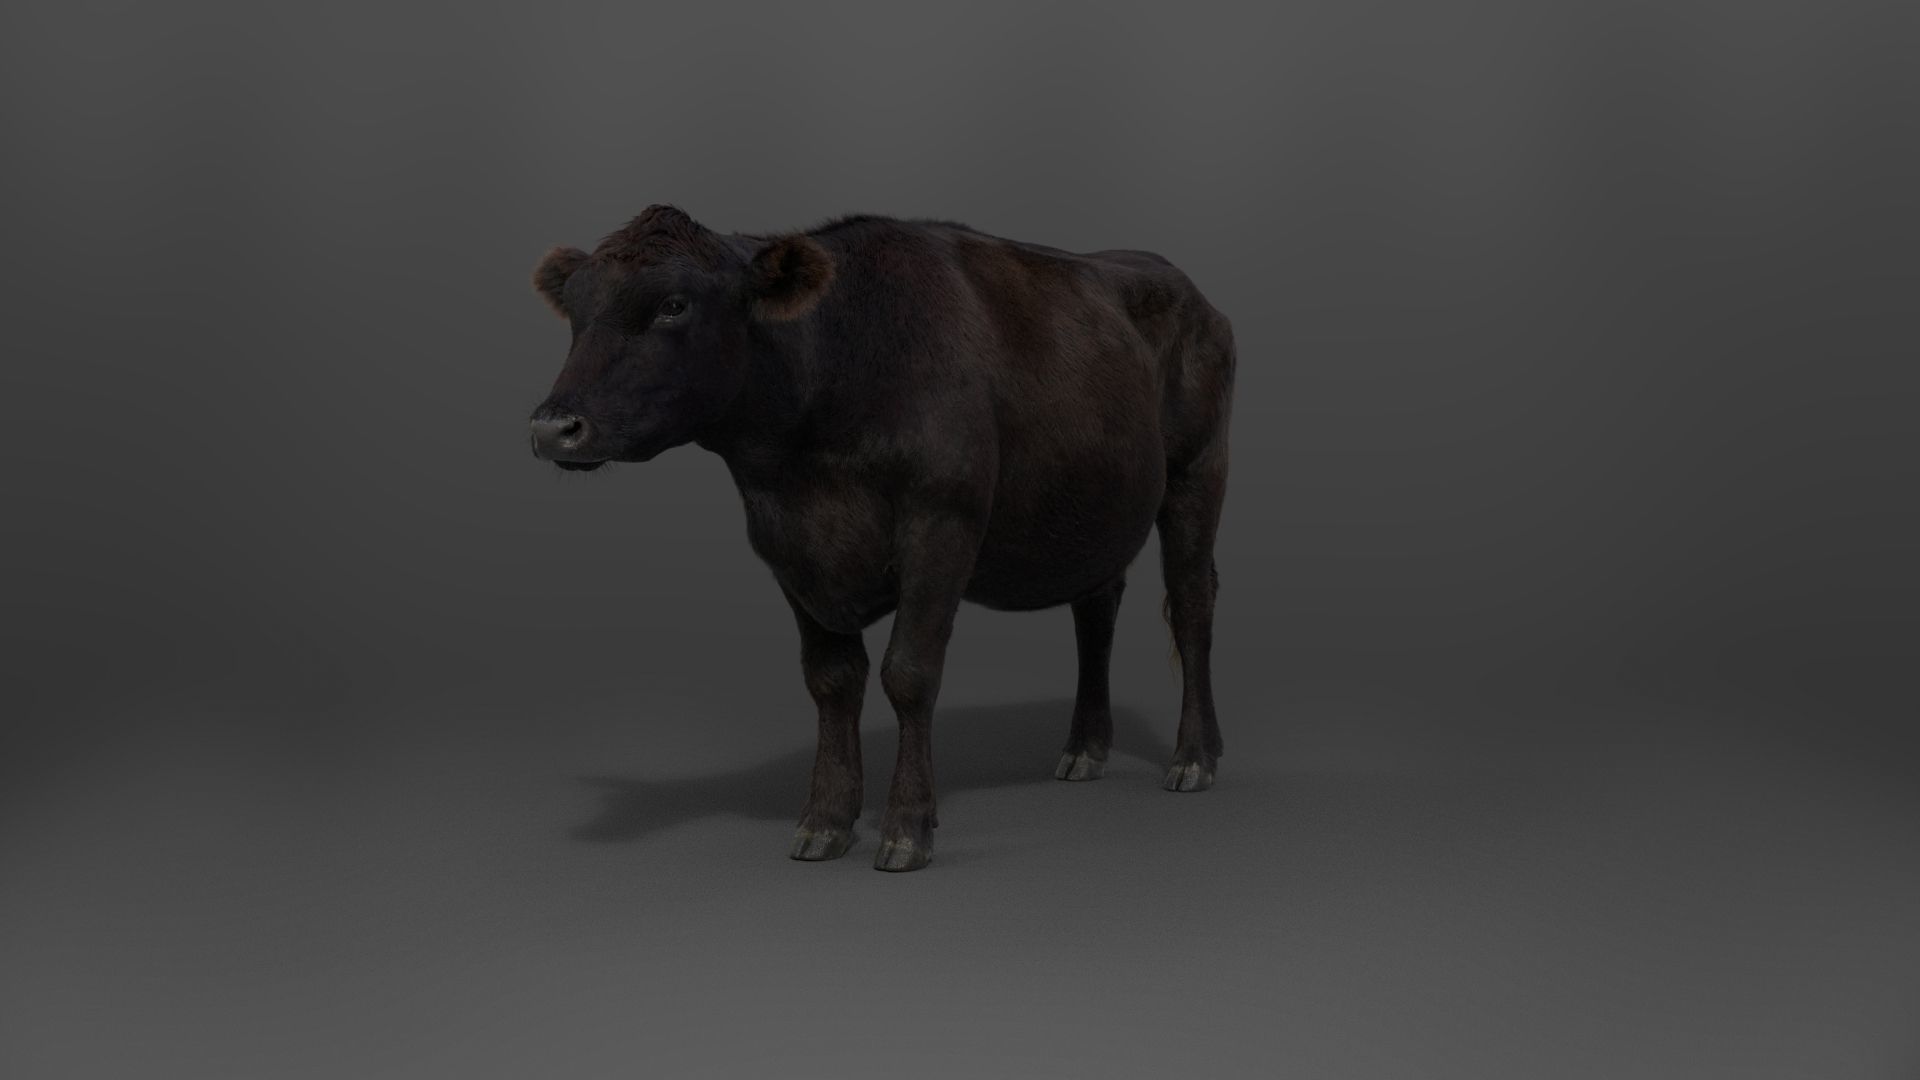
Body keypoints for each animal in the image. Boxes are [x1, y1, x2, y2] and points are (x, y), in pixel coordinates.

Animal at [528, 205, 1234, 871]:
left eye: (674, 304)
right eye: (577, 309)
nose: (552, 428)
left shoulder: (941, 523)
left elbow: (909, 673)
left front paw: (906, 829)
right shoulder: (787, 546)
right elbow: (832, 680)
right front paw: (825, 821)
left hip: (1198, 472)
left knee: (1192, 605)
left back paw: (1194, 759)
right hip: (1095, 504)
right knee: (1096, 609)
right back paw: (1084, 750)